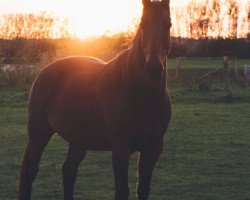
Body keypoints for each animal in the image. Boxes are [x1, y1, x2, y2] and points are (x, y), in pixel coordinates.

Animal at [18, 0, 172, 199]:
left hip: (78, 140)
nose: (153, 68)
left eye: (168, 24)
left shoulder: (152, 148)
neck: (142, 97)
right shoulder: (120, 149)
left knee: (69, 171)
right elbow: (122, 191)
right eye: (142, 25)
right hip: (38, 135)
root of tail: (44, 71)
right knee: (29, 171)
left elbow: (143, 190)